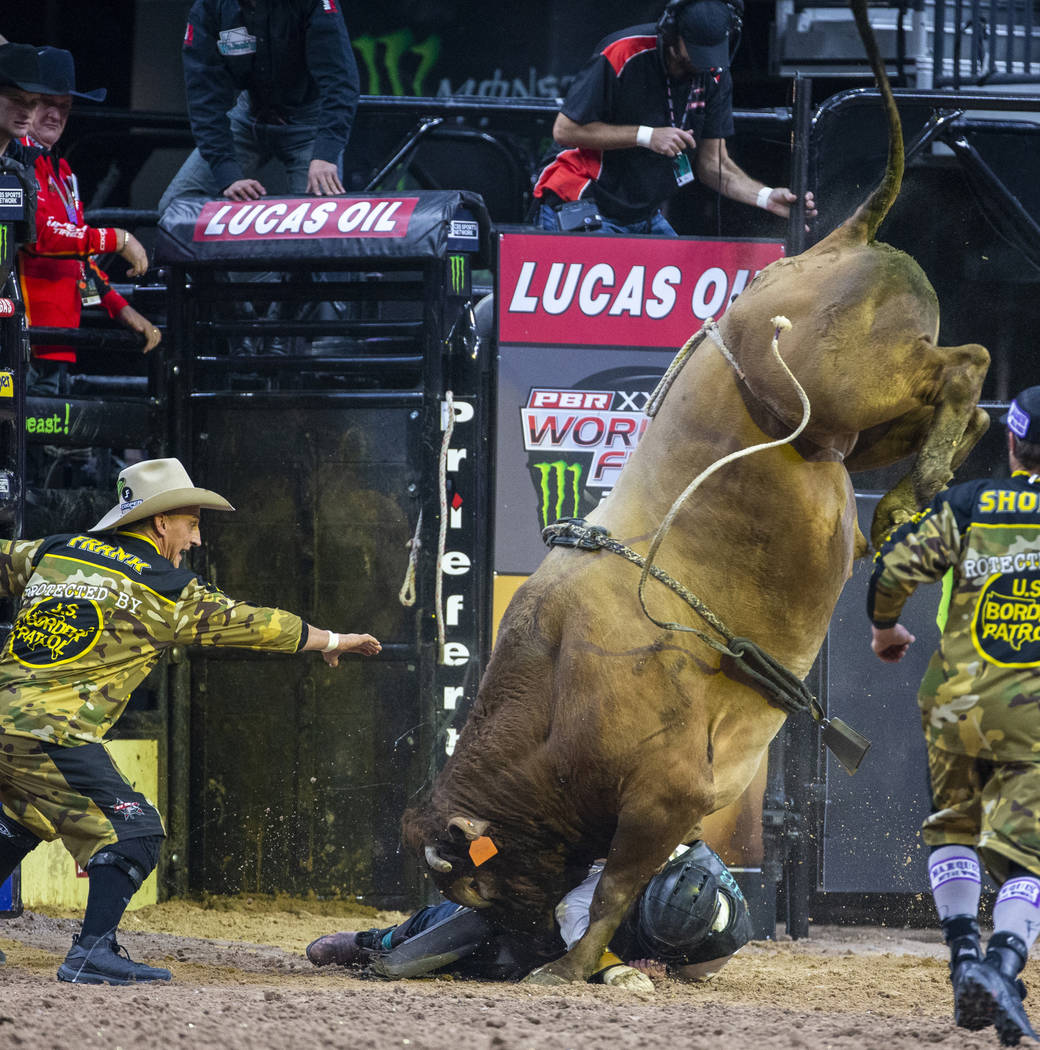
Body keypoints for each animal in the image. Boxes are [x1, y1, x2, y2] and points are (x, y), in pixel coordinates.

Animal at [401, 0, 991, 982]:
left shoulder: (665, 792)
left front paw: (572, 968)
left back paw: (922, 495)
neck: (553, 691)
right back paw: (910, 509)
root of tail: (832, 245)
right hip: (851, 431)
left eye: (476, 886)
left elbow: (614, 884)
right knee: (963, 405)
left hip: (851, 385)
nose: (502, 957)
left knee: (969, 365)